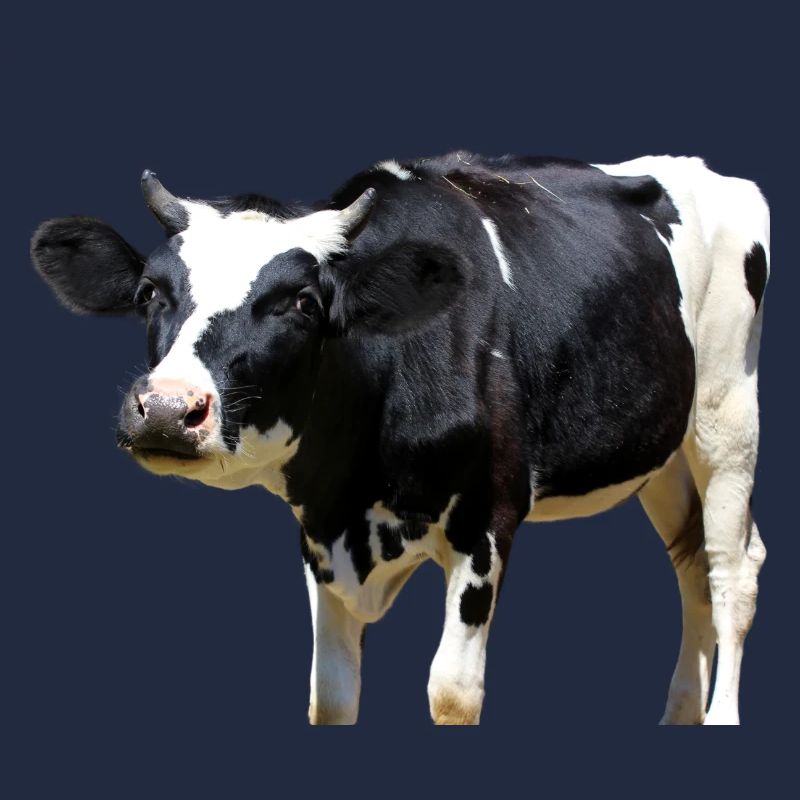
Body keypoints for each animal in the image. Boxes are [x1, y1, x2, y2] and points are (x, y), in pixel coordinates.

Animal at [30, 152, 770, 725]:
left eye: (302, 303)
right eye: (150, 292)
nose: (165, 408)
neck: (356, 485)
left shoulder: (487, 520)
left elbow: (452, 693)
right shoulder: (319, 533)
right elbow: (330, 694)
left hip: (727, 414)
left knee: (732, 570)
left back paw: (720, 716)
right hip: (662, 454)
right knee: (690, 565)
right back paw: (680, 715)